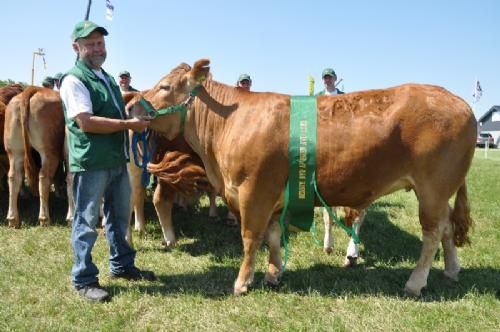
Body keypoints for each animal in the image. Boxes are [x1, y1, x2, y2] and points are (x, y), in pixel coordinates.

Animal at [129, 59, 476, 296]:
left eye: (165, 86)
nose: (131, 105)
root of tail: (457, 100)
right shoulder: (271, 198)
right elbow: (271, 237)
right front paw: (272, 274)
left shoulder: (253, 192)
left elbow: (250, 238)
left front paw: (242, 282)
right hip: (440, 191)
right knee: (447, 227)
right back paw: (452, 270)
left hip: (432, 189)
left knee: (433, 232)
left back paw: (415, 282)